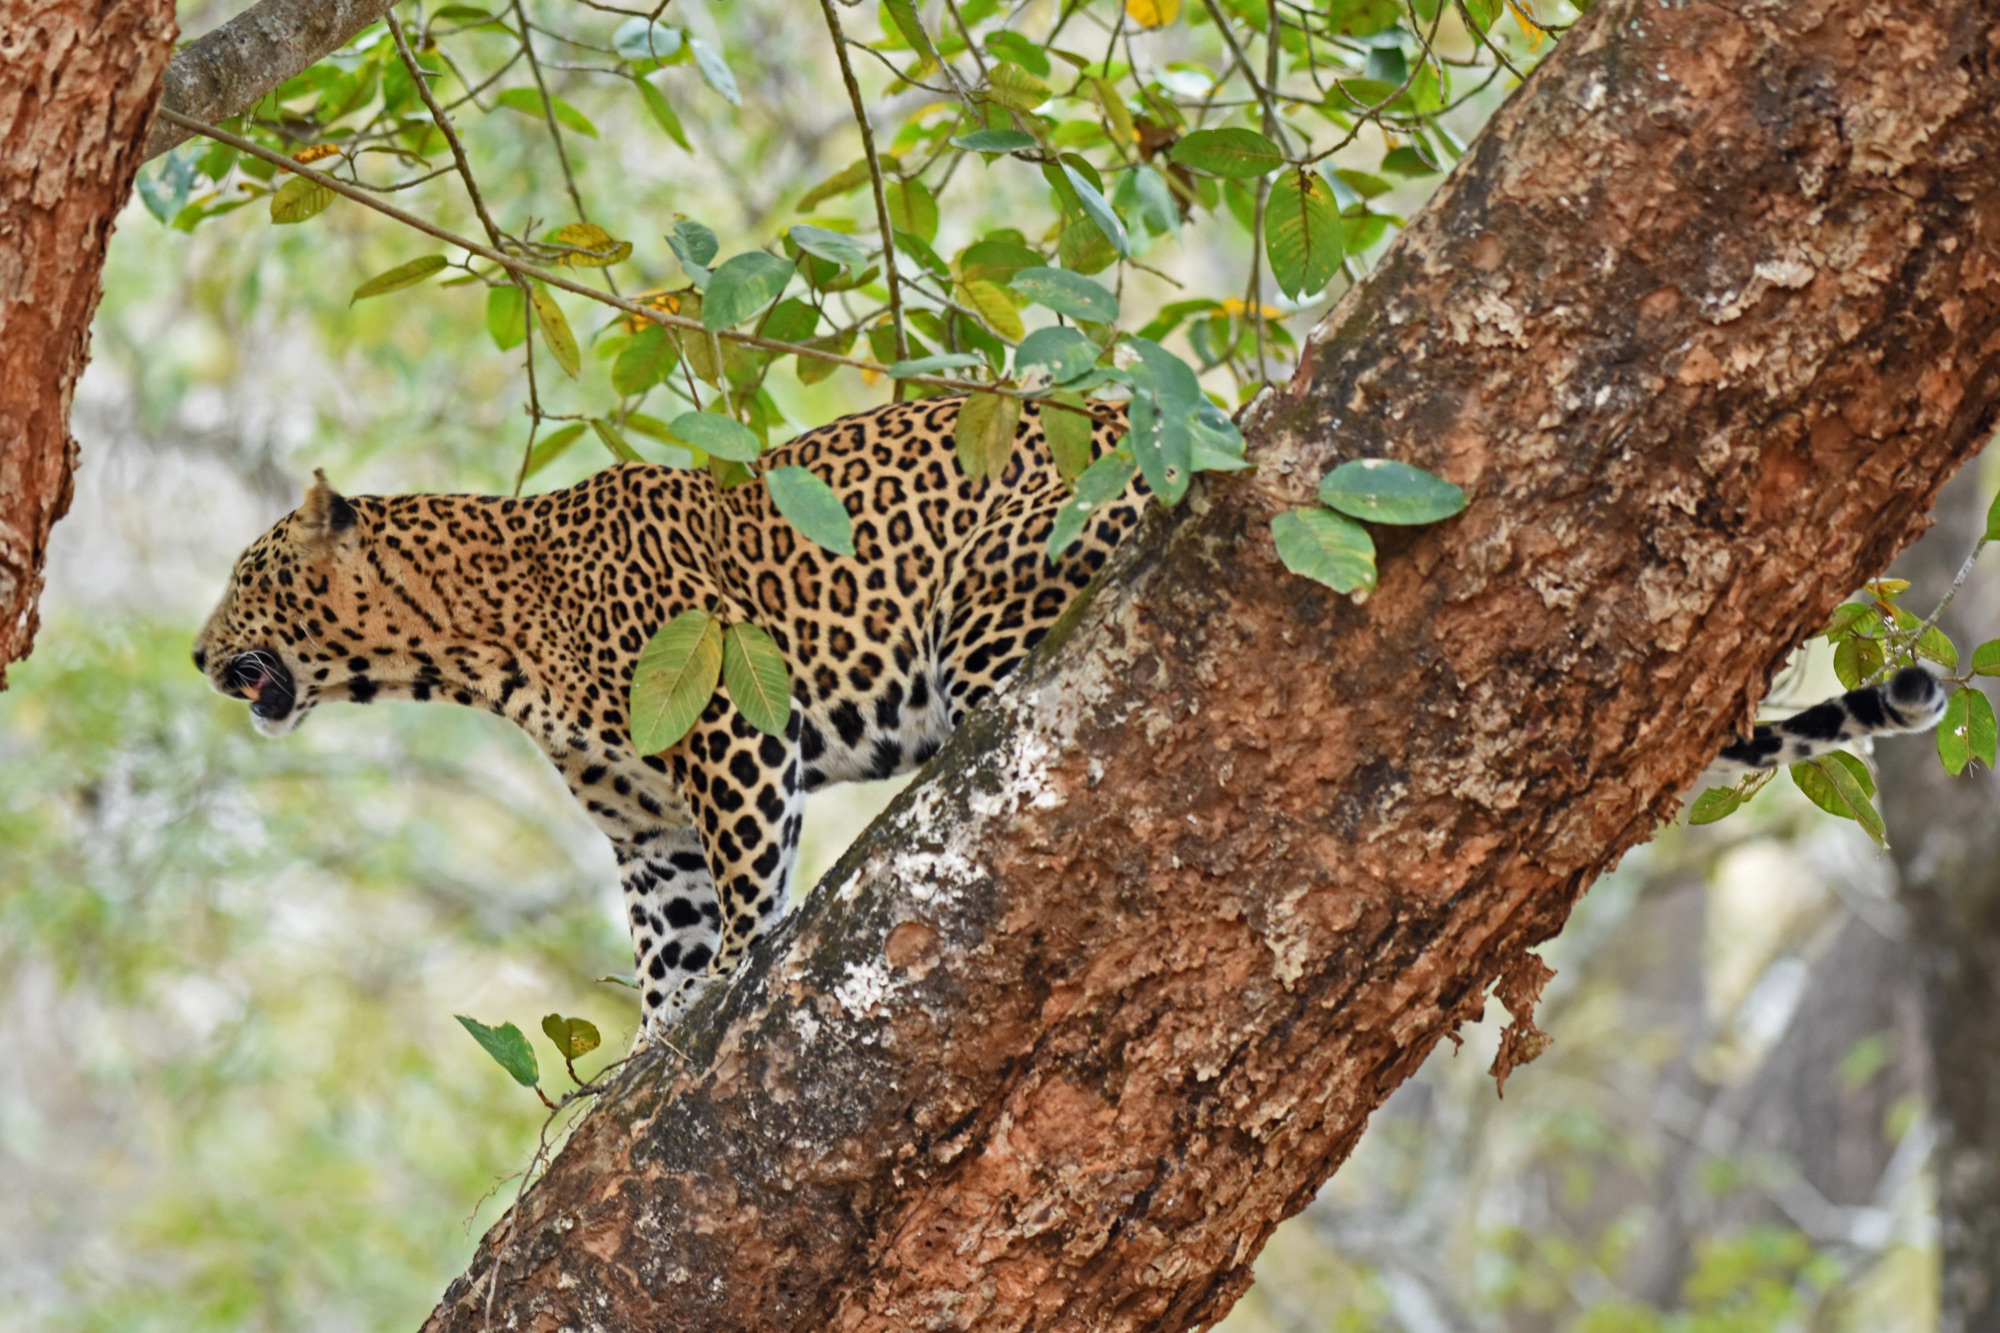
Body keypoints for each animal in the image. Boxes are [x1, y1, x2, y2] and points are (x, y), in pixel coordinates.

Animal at [203, 390, 1152, 1032]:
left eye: (244, 577)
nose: (194, 653)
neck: (482, 644)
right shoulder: (649, 830)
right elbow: (669, 932)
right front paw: (656, 1031)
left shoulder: (729, 718)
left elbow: (745, 872)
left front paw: (730, 970)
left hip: (992, 597)